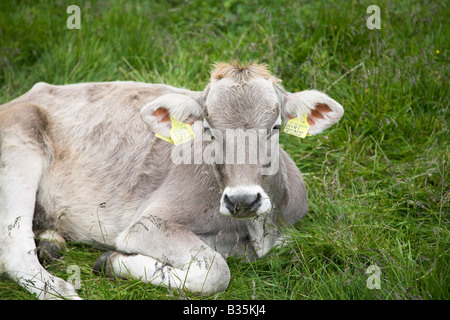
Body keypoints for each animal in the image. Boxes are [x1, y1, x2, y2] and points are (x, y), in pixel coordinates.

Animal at [0, 61, 344, 298]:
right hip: (19, 149)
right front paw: (111, 262)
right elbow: (216, 271)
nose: (243, 200)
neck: (253, 232)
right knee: (14, 249)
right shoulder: (148, 224)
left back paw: (51, 245)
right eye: (209, 130)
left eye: (274, 127)